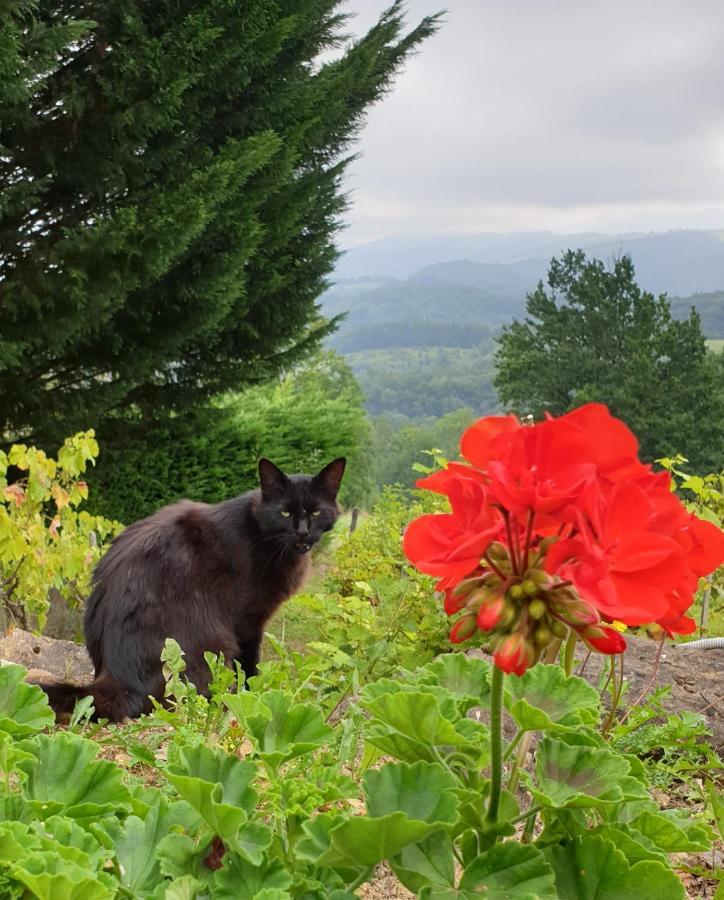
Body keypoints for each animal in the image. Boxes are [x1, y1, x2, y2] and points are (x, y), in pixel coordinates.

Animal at [35, 460, 346, 720]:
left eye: (316, 511)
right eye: (285, 512)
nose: (303, 531)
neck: (263, 536)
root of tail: (116, 677)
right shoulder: (248, 622)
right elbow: (249, 665)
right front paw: (253, 696)